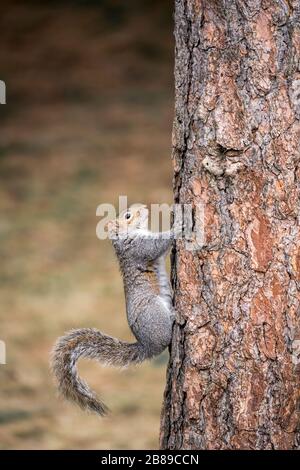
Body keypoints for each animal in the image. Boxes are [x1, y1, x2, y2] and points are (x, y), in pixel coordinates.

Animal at [51, 202, 178, 414]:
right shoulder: (137, 248)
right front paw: (179, 225)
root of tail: (147, 345)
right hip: (153, 311)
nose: (144, 207)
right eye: (127, 216)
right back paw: (177, 316)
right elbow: (157, 245)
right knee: (166, 337)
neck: (127, 236)